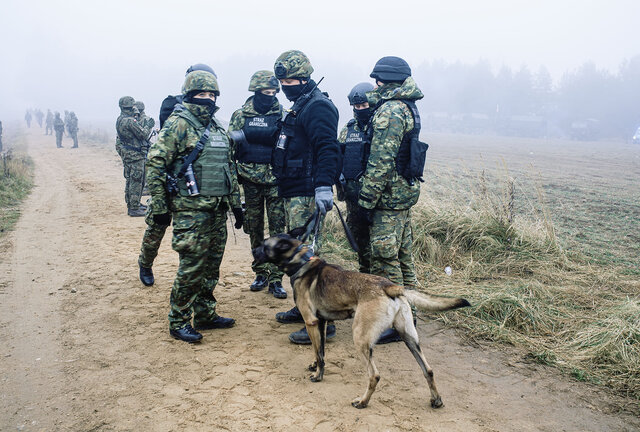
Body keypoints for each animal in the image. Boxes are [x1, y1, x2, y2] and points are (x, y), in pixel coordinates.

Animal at [254, 230, 470, 408]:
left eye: (264, 245)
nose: (254, 249)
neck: (303, 262)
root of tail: (390, 286)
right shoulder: (321, 323)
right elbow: (319, 351)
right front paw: (315, 365)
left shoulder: (311, 322)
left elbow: (320, 355)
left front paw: (318, 375)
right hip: (409, 338)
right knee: (429, 370)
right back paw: (436, 399)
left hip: (360, 338)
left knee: (374, 375)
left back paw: (362, 401)